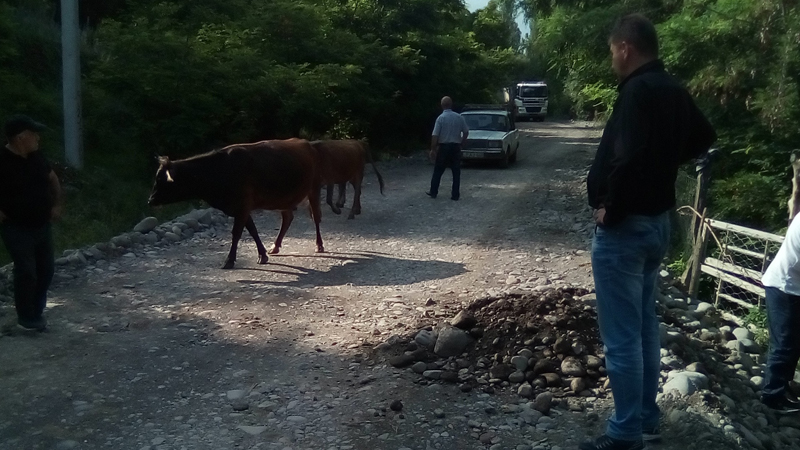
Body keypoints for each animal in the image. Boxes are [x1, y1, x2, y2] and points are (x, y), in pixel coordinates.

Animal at [148, 139, 324, 268]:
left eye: (161, 180)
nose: (150, 200)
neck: (219, 170)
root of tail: (305, 142)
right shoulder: (241, 208)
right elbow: (252, 230)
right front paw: (262, 254)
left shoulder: (242, 206)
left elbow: (237, 233)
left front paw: (229, 260)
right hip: (283, 199)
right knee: (287, 217)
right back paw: (275, 246)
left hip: (314, 188)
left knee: (316, 216)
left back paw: (319, 245)